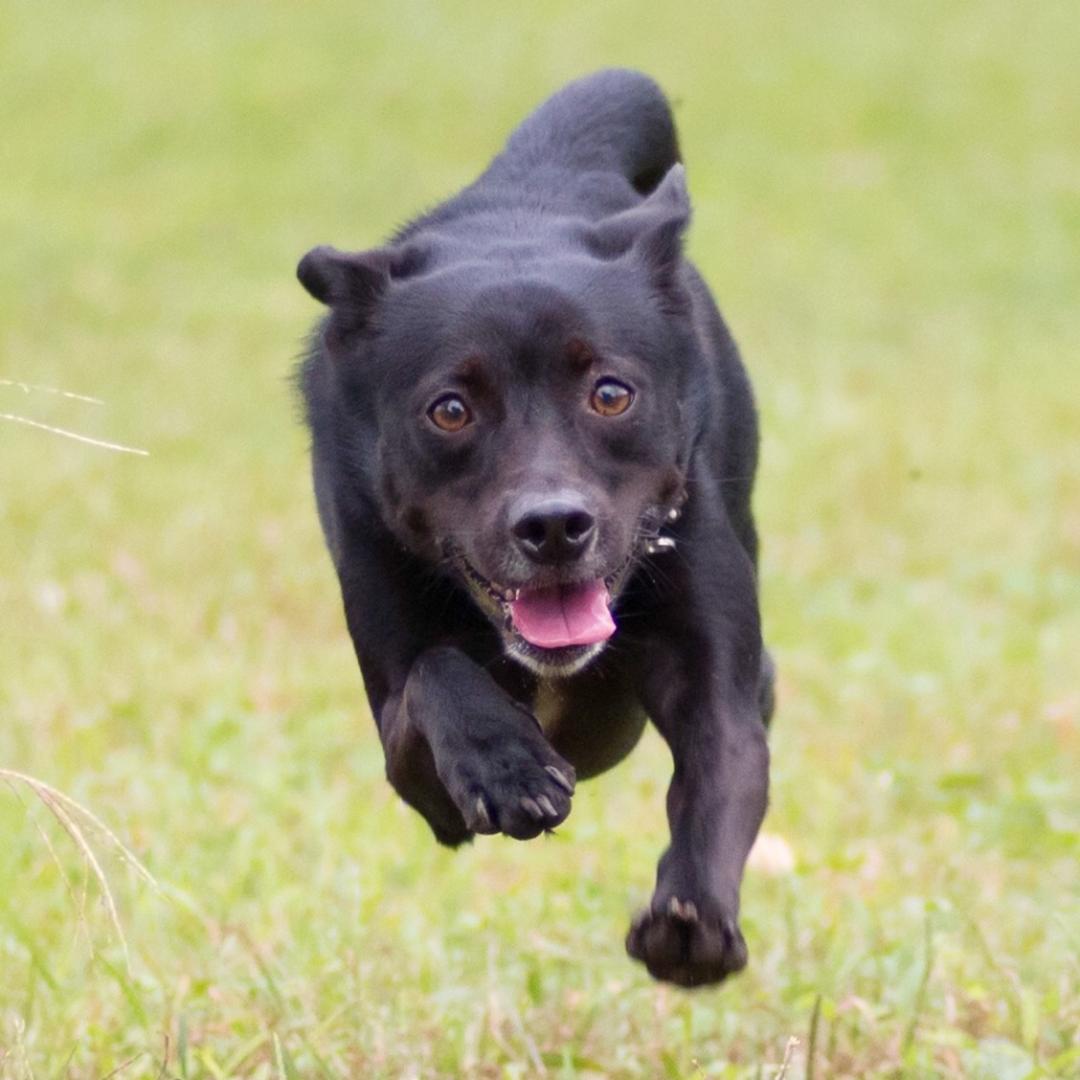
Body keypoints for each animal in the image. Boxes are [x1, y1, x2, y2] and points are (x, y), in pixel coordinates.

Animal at [293, 69, 768, 989]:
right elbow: (433, 674)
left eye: (610, 394)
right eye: (450, 410)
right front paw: (505, 765)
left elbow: (722, 769)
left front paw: (692, 919)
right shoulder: (410, 758)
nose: (553, 525)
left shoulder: (726, 678)